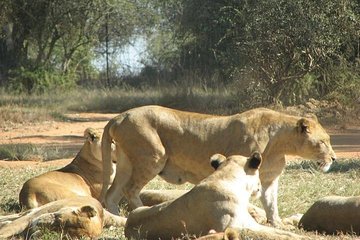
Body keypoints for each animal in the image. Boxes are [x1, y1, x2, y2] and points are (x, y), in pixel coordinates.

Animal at [100, 106, 336, 226]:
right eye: (323, 142)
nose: (334, 159)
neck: (280, 143)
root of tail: (119, 116)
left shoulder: (269, 179)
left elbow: (271, 203)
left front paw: (277, 223)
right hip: (153, 156)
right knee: (130, 189)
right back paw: (140, 212)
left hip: (126, 163)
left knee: (112, 193)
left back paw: (119, 218)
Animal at [124, 153, 306, 239]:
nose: (260, 188)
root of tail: (127, 225)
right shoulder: (230, 228)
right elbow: (268, 235)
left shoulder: (250, 224)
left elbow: (278, 233)